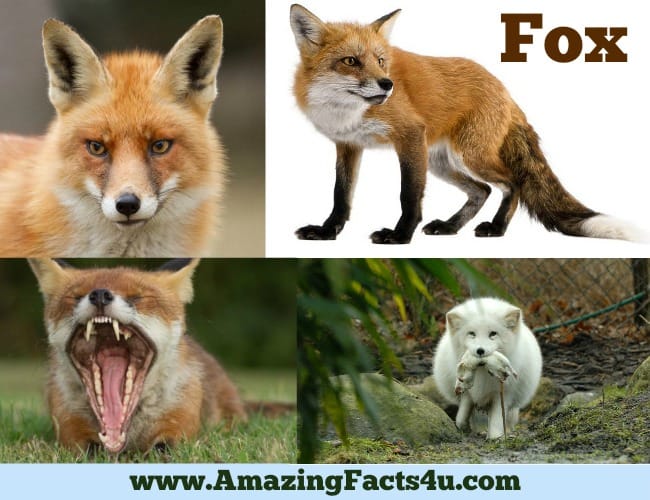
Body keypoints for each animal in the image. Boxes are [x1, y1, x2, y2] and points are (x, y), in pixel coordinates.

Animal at [29, 258, 246, 454]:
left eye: (136, 297)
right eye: (76, 297)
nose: (100, 294)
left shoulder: (179, 417)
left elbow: (165, 448)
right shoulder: (68, 420)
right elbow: (88, 449)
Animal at [289, 4, 644, 244]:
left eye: (380, 61)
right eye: (350, 61)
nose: (387, 85)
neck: (346, 111)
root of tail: (504, 89)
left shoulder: (409, 136)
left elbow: (408, 195)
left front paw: (401, 236)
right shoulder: (348, 145)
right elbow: (341, 196)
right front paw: (327, 231)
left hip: (466, 155)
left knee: (512, 183)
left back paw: (497, 228)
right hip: (440, 162)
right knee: (481, 190)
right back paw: (449, 227)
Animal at [432, 297, 542, 439]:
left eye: (493, 334)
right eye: (472, 334)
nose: (480, 351)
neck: (482, 371)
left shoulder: (503, 394)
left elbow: (497, 419)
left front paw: (495, 437)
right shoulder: (466, 391)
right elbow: (463, 414)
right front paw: (463, 427)